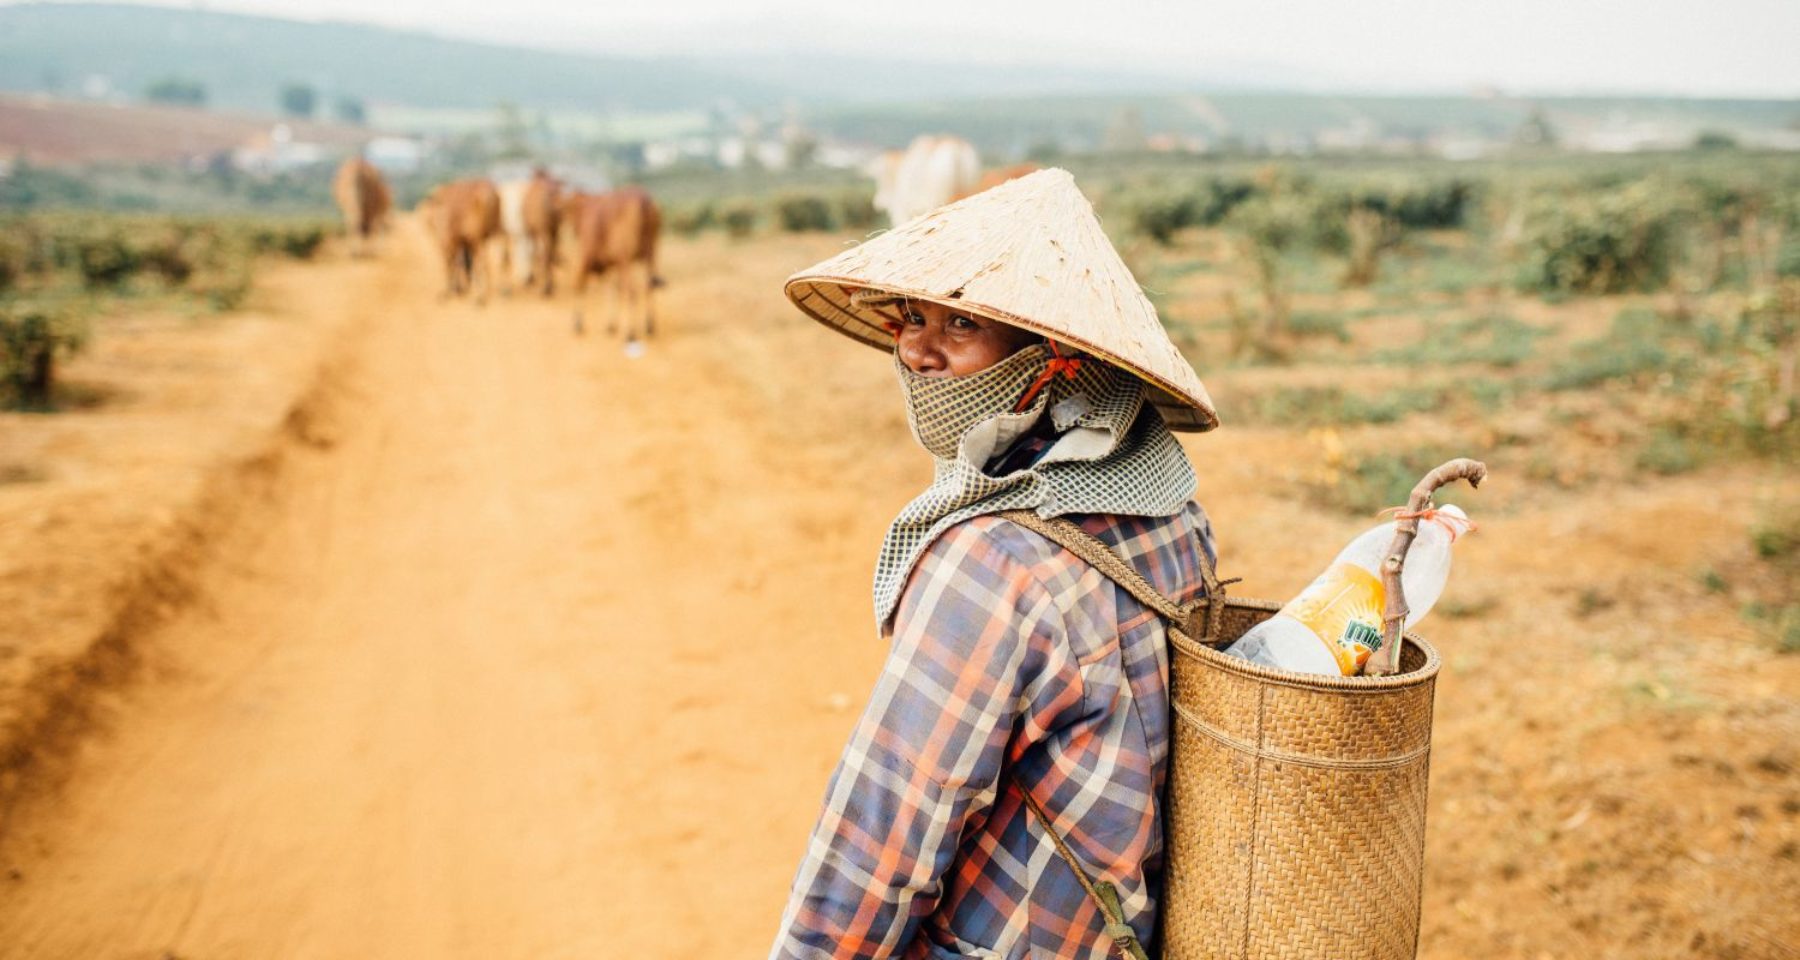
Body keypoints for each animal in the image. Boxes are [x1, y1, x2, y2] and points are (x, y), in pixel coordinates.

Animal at [561, 186, 662, 340]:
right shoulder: (611, 264)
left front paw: (578, 323)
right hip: (650, 255)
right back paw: (649, 325)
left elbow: (579, 285)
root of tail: (642, 200)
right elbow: (611, 288)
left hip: (626, 260)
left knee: (631, 292)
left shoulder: (585, 258)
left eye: (569, 208)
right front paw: (611, 325)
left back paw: (630, 333)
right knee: (648, 286)